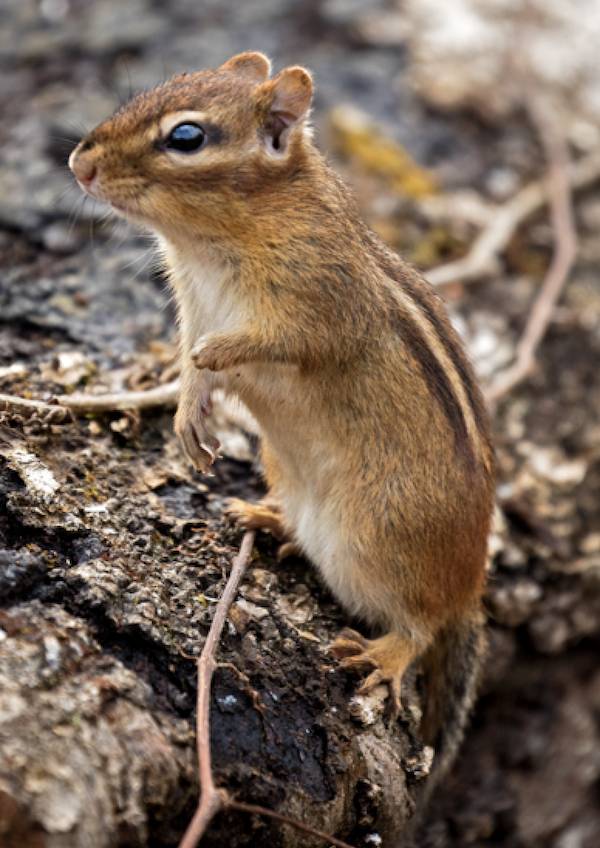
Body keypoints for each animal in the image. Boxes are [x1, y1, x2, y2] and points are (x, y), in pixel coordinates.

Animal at [69, 51, 495, 776]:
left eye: (186, 137)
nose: (78, 163)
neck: (212, 240)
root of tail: (469, 585)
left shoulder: (319, 299)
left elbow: (278, 342)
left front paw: (221, 354)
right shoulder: (192, 303)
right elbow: (190, 363)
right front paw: (189, 413)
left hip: (382, 542)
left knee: (422, 626)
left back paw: (384, 653)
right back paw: (266, 517)